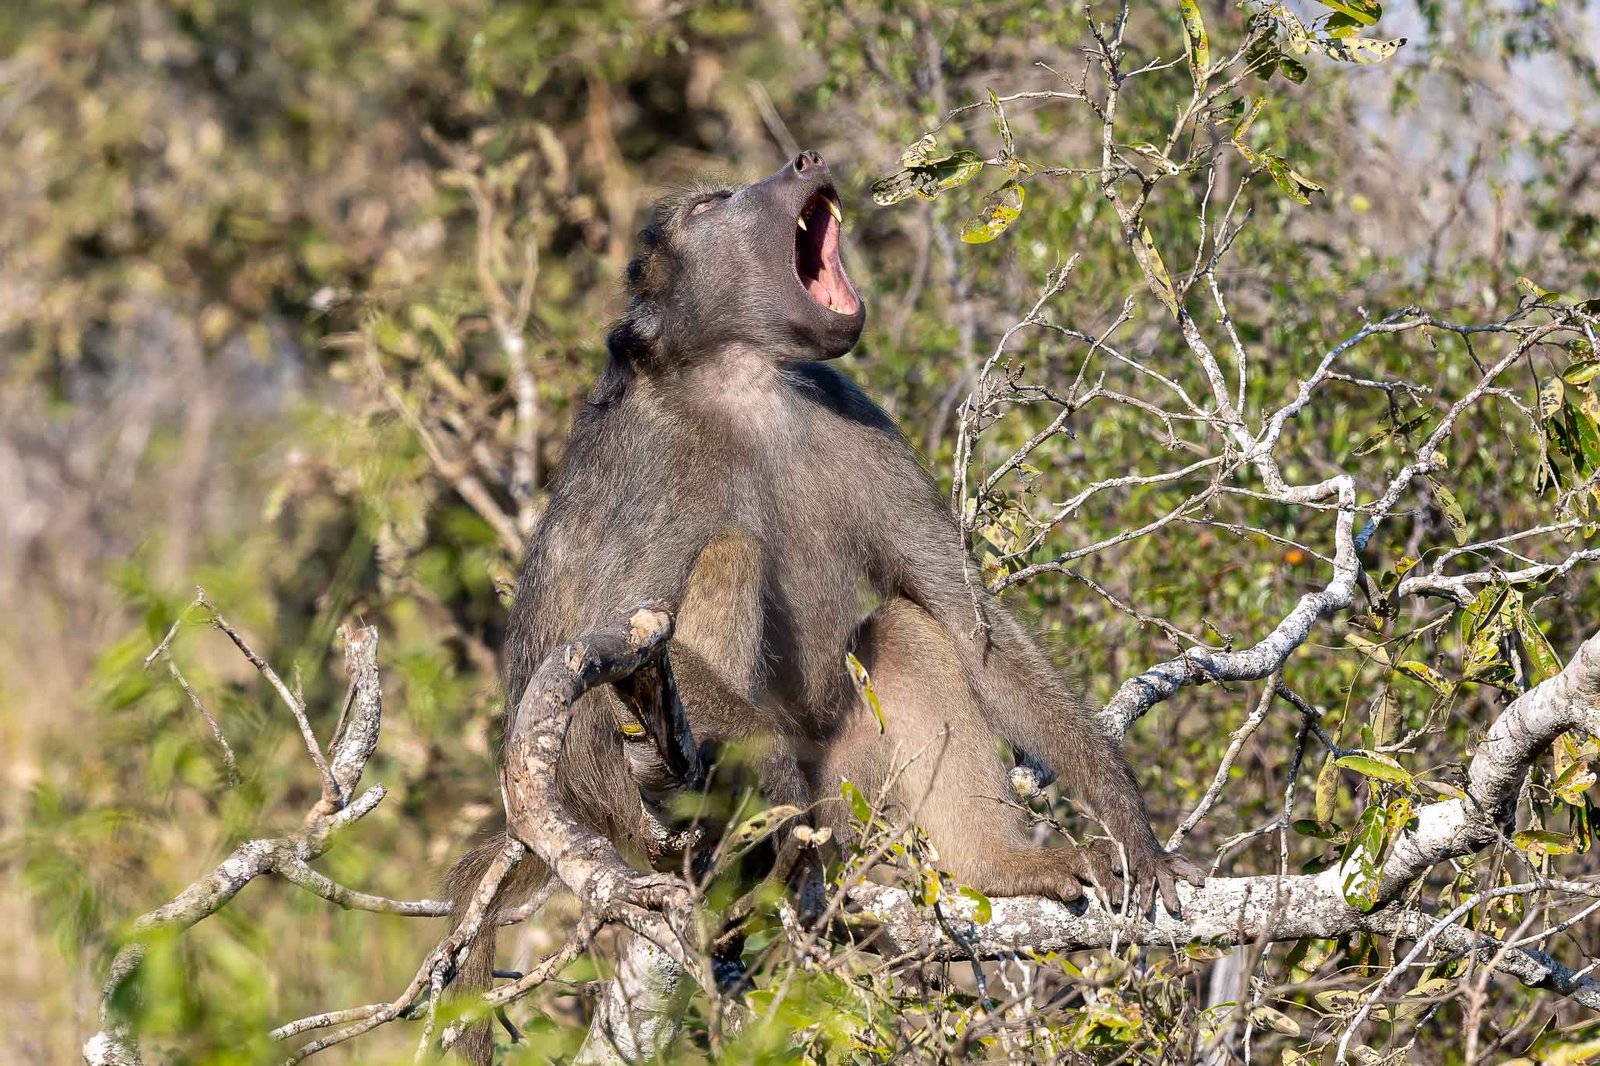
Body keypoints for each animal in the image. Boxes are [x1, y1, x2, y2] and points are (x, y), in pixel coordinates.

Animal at [446, 150, 1202, 1062]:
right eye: (710, 205)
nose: (802, 161)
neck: (743, 381)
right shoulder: (644, 468)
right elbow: (595, 657)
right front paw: (761, 766)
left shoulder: (849, 407)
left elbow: (963, 616)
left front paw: (1133, 828)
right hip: (647, 816)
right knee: (726, 564)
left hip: (850, 788)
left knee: (905, 630)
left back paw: (992, 866)